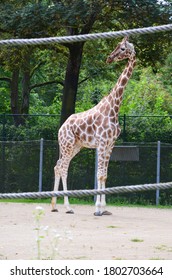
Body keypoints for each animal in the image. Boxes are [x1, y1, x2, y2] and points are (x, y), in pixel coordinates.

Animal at [51, 36, 136, 215]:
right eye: (118, 45)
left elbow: (105, 174)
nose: (109, 58)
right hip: (67, 145)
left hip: (75, 146)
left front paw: (104, 209)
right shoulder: (102, 142)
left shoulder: (110, 144)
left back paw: (54, 205)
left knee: (58, 166)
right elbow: (99, 174)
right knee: (63, 168)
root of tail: (61, 129)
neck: (114, 107)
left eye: (122, 48)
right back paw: (68, 207)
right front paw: (97, 208)